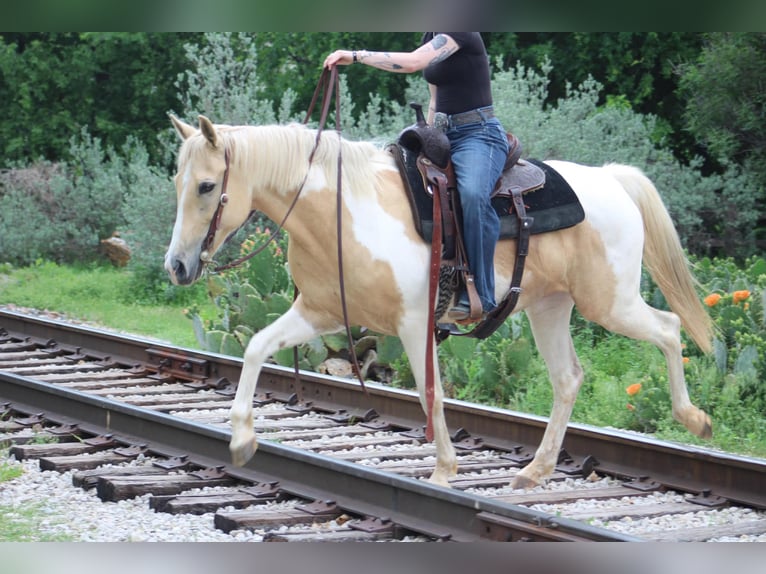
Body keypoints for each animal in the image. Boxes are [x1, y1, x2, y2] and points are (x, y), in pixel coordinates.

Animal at [164, 114, 713, 489]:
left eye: (207, 186)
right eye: (177, 183)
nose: (177, 266)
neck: (342, 213)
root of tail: (611, 178)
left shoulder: (413, 323)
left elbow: (431, 394)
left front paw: (445, 470)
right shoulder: (319, 313)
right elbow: (256, 346)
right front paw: (241, 439)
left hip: (611, 303)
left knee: (668, 328)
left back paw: (694, 419)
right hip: (550, 307)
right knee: (568, 378)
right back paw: (535, 470)